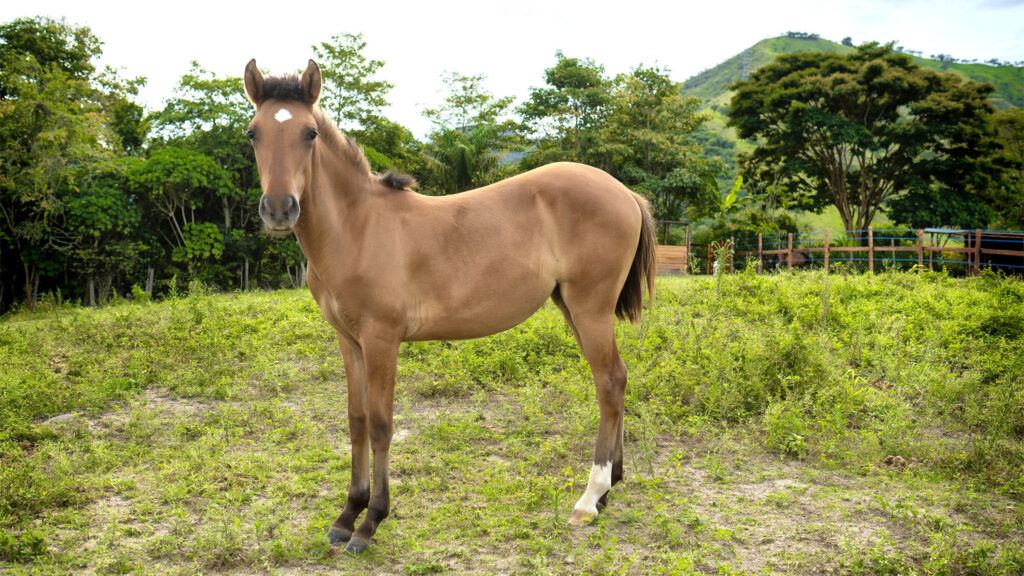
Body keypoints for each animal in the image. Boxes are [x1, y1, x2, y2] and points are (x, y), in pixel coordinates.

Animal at [242, 57, 655, 553]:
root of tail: (625, 192)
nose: (278, 209)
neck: (357, 228)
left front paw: (370, 521)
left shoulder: (382, 339)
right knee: (618, 377)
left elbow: (381, 424)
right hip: (571, 307)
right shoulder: (348, 340)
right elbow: (356, 420)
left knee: (608, 382)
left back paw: (589, 499)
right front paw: (346, 514)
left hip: (590, 307)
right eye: (253, 132)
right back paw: (612, 483)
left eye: (309, 133)